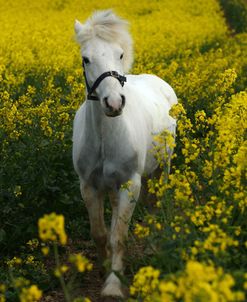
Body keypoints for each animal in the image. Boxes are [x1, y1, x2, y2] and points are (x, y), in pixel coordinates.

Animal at [72, 8, 177, 298]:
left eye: (120, 54)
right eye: (86, 59)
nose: (114, 103)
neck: (105, 136)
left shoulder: (131, 183)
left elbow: (118, 235)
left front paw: (113, 285)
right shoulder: (89, 185)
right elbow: (100, 233)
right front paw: (104, 268)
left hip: (162, 168)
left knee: (155, 204)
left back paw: (152, 247)